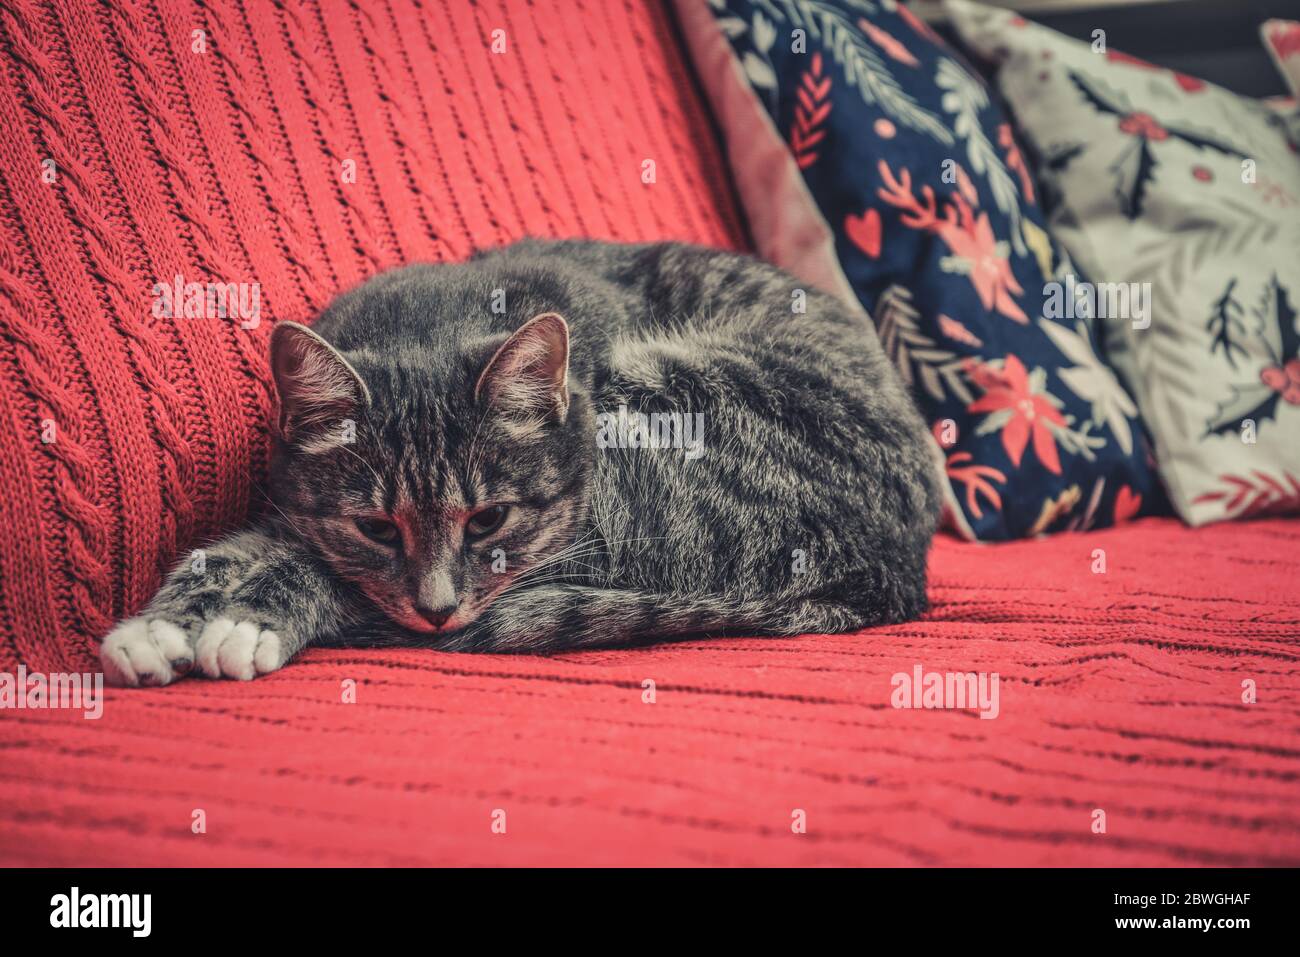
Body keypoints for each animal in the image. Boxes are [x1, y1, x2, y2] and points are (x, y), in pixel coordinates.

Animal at [98, 240, 935, 686]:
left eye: (489, 519)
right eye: (376, 527)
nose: (437, 607)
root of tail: (897, 569)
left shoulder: (578, 535)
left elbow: (327, 573)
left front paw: (249, 616)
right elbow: (241, 547)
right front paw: (159, 626)